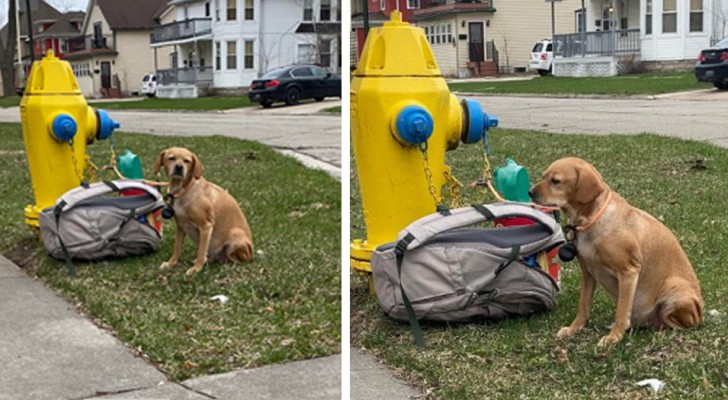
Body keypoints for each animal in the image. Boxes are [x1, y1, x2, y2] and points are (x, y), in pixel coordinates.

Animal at [154, 147, 253, 278]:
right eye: (171, 158)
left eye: (187, 161)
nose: (179, 167)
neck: (183, 190)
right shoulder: (180, 226)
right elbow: (177, 249)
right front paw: (171, 263)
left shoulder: (206, 226)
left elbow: (201, 252)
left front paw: (196, 269)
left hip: (235, 236)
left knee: (234, 258)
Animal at [528, 157, 704, 346]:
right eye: (544, 176)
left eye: (555, 181)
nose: (530, 192)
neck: (590, 220)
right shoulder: (588, 273)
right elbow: (583, 306)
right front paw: (574, 329)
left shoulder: (628, 271)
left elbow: (621, 311)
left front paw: (614, 337)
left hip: (675, 292)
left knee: (679, 323)